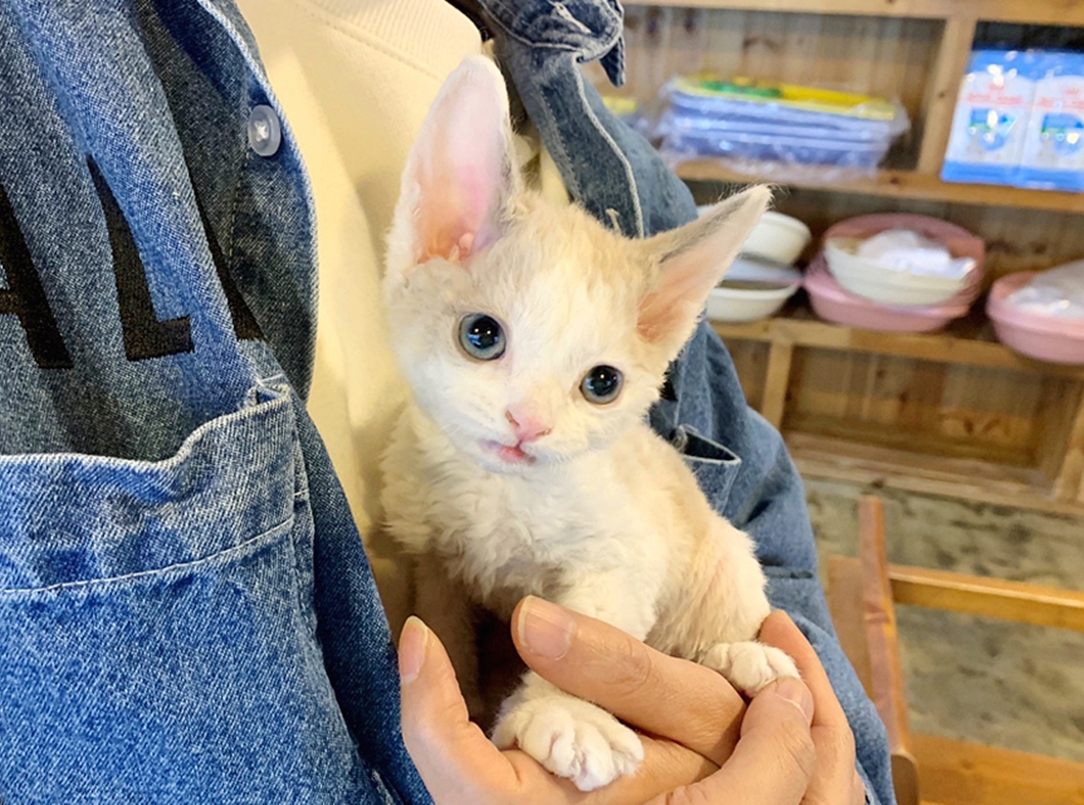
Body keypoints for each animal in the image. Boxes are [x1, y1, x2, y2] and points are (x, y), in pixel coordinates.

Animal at [379, 55, 799, 792]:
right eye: (481, 335)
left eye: (602, 383)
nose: (529, 423)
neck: (497, 494)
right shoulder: (431, 549)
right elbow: (441, 617)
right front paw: (463, 685)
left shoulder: (624, 551)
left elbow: (594, 621)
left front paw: (567, 715)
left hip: (721, 552)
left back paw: (741, 656)